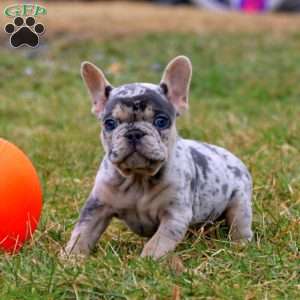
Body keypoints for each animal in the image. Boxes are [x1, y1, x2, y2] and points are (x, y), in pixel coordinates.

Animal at [65, 56, 253, 260]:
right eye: (109, 123)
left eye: (161, 121)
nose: (134, 133)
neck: (139, 179)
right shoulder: (97, 207)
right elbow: (83, 232)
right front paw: (70, 257)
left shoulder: (174, 215)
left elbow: (158, 241)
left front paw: (147, 260)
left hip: (240, 204)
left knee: (240, 225)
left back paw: (240, 246)